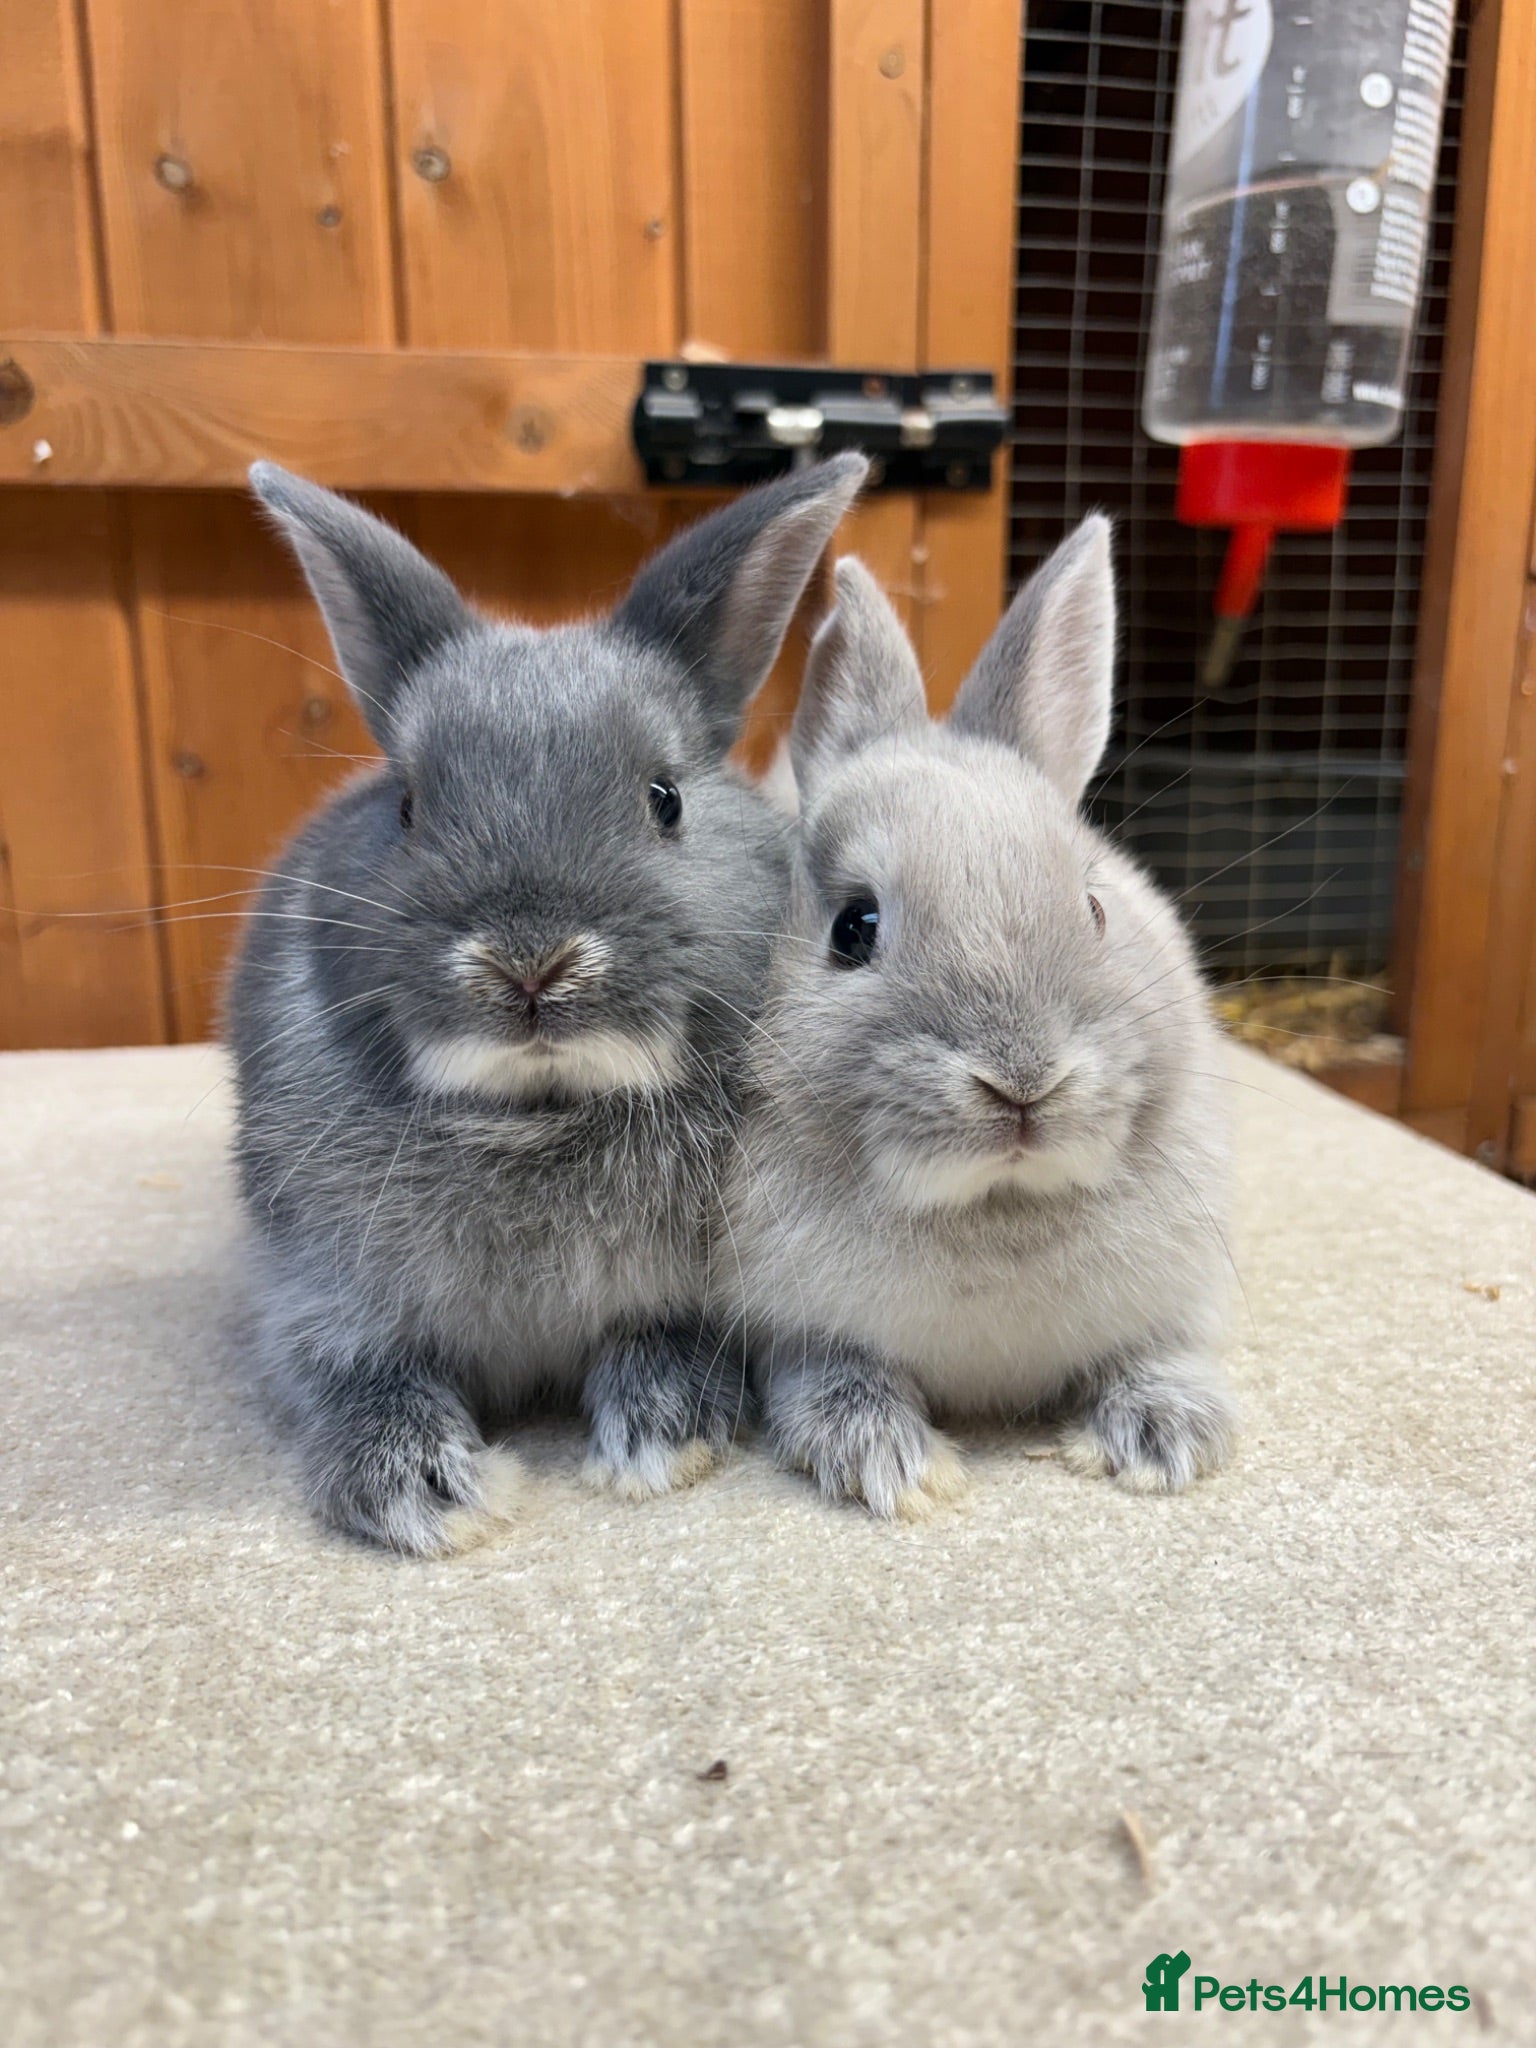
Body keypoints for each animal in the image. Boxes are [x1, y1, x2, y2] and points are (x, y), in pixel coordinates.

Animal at [228, 453, 867, 1555]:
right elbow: (363, 1382)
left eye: (665, 798)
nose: (529, 964)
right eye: (407, 806)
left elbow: (665, 1345)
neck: (535, 1117)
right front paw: (428, 1492)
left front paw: (660, 1439)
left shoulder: (691, 1296)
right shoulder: (319, 1301)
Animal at [724, 516, 1236, 1518]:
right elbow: (831, 1380)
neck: (1000, 1205)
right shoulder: (793, 1333)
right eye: (853, 929)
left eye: (1095, 908)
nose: (1024, 1083)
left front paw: (1171, 1441)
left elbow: (1158, 1353)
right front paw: (890, 1462)